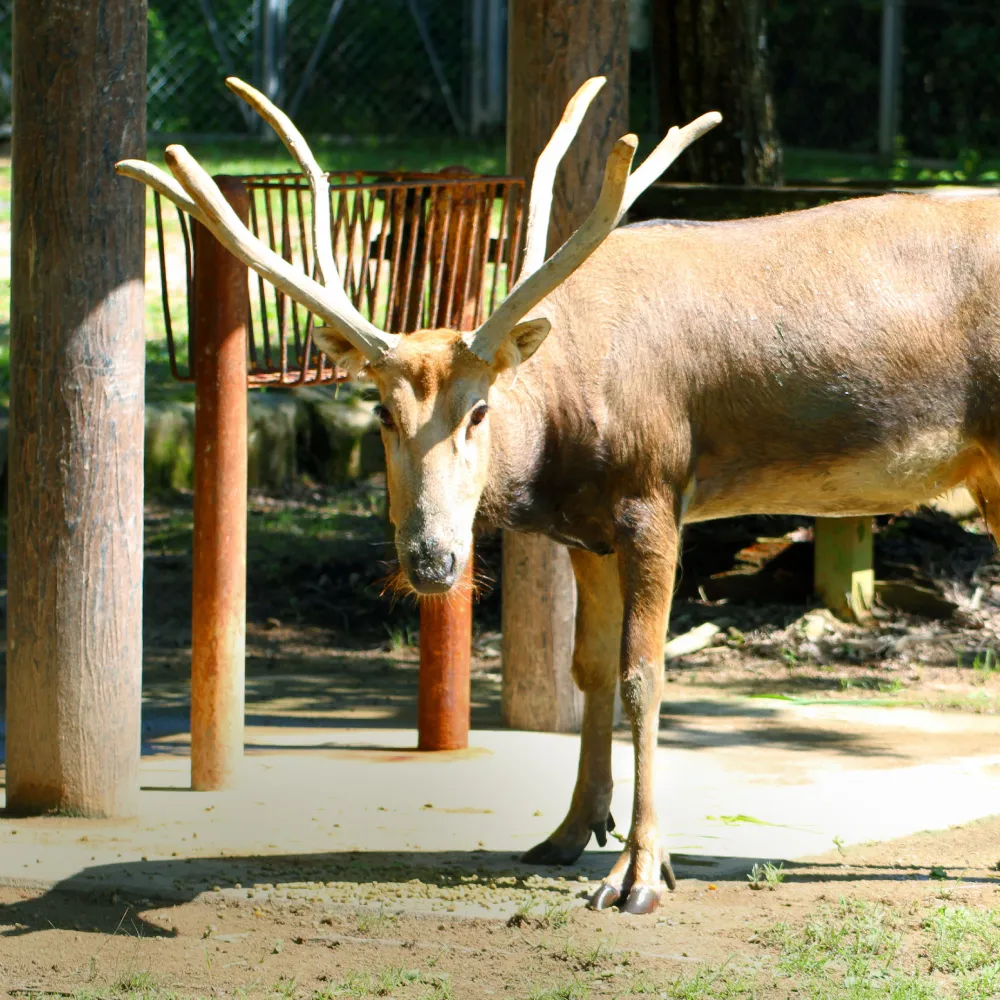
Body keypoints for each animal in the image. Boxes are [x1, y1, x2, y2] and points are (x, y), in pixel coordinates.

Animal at [118, 76, 1000, 915]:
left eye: (479, 409)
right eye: (380, 411)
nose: (432, 560)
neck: (563, 441)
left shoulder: (655, 494)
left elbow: (645, 674)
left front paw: (641, 872)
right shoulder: (587, 531)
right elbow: (589, 670)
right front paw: (569, 831)